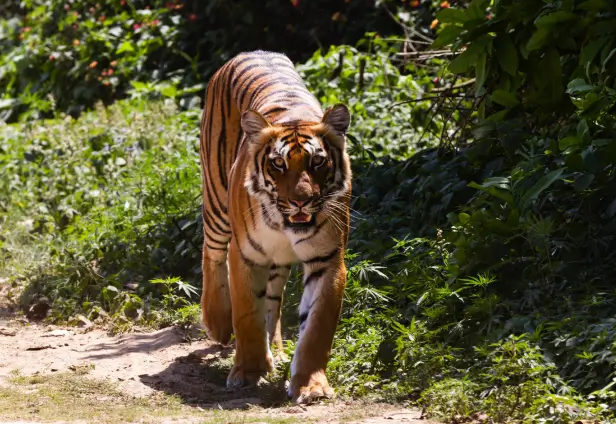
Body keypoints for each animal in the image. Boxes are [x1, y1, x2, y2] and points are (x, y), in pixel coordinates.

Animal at [197, 49, 352, 404]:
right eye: (278, 163)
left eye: (318, 161)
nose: (300, 201)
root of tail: (252, 51)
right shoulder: (246, 255)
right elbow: (246, 315)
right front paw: (248, 372)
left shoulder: (327, 260)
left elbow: (317, 327)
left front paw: (310, 385)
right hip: (217, 202)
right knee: (211, 252)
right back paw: (218, 323)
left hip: (277, 261)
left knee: (272, 300)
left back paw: (277, 353)